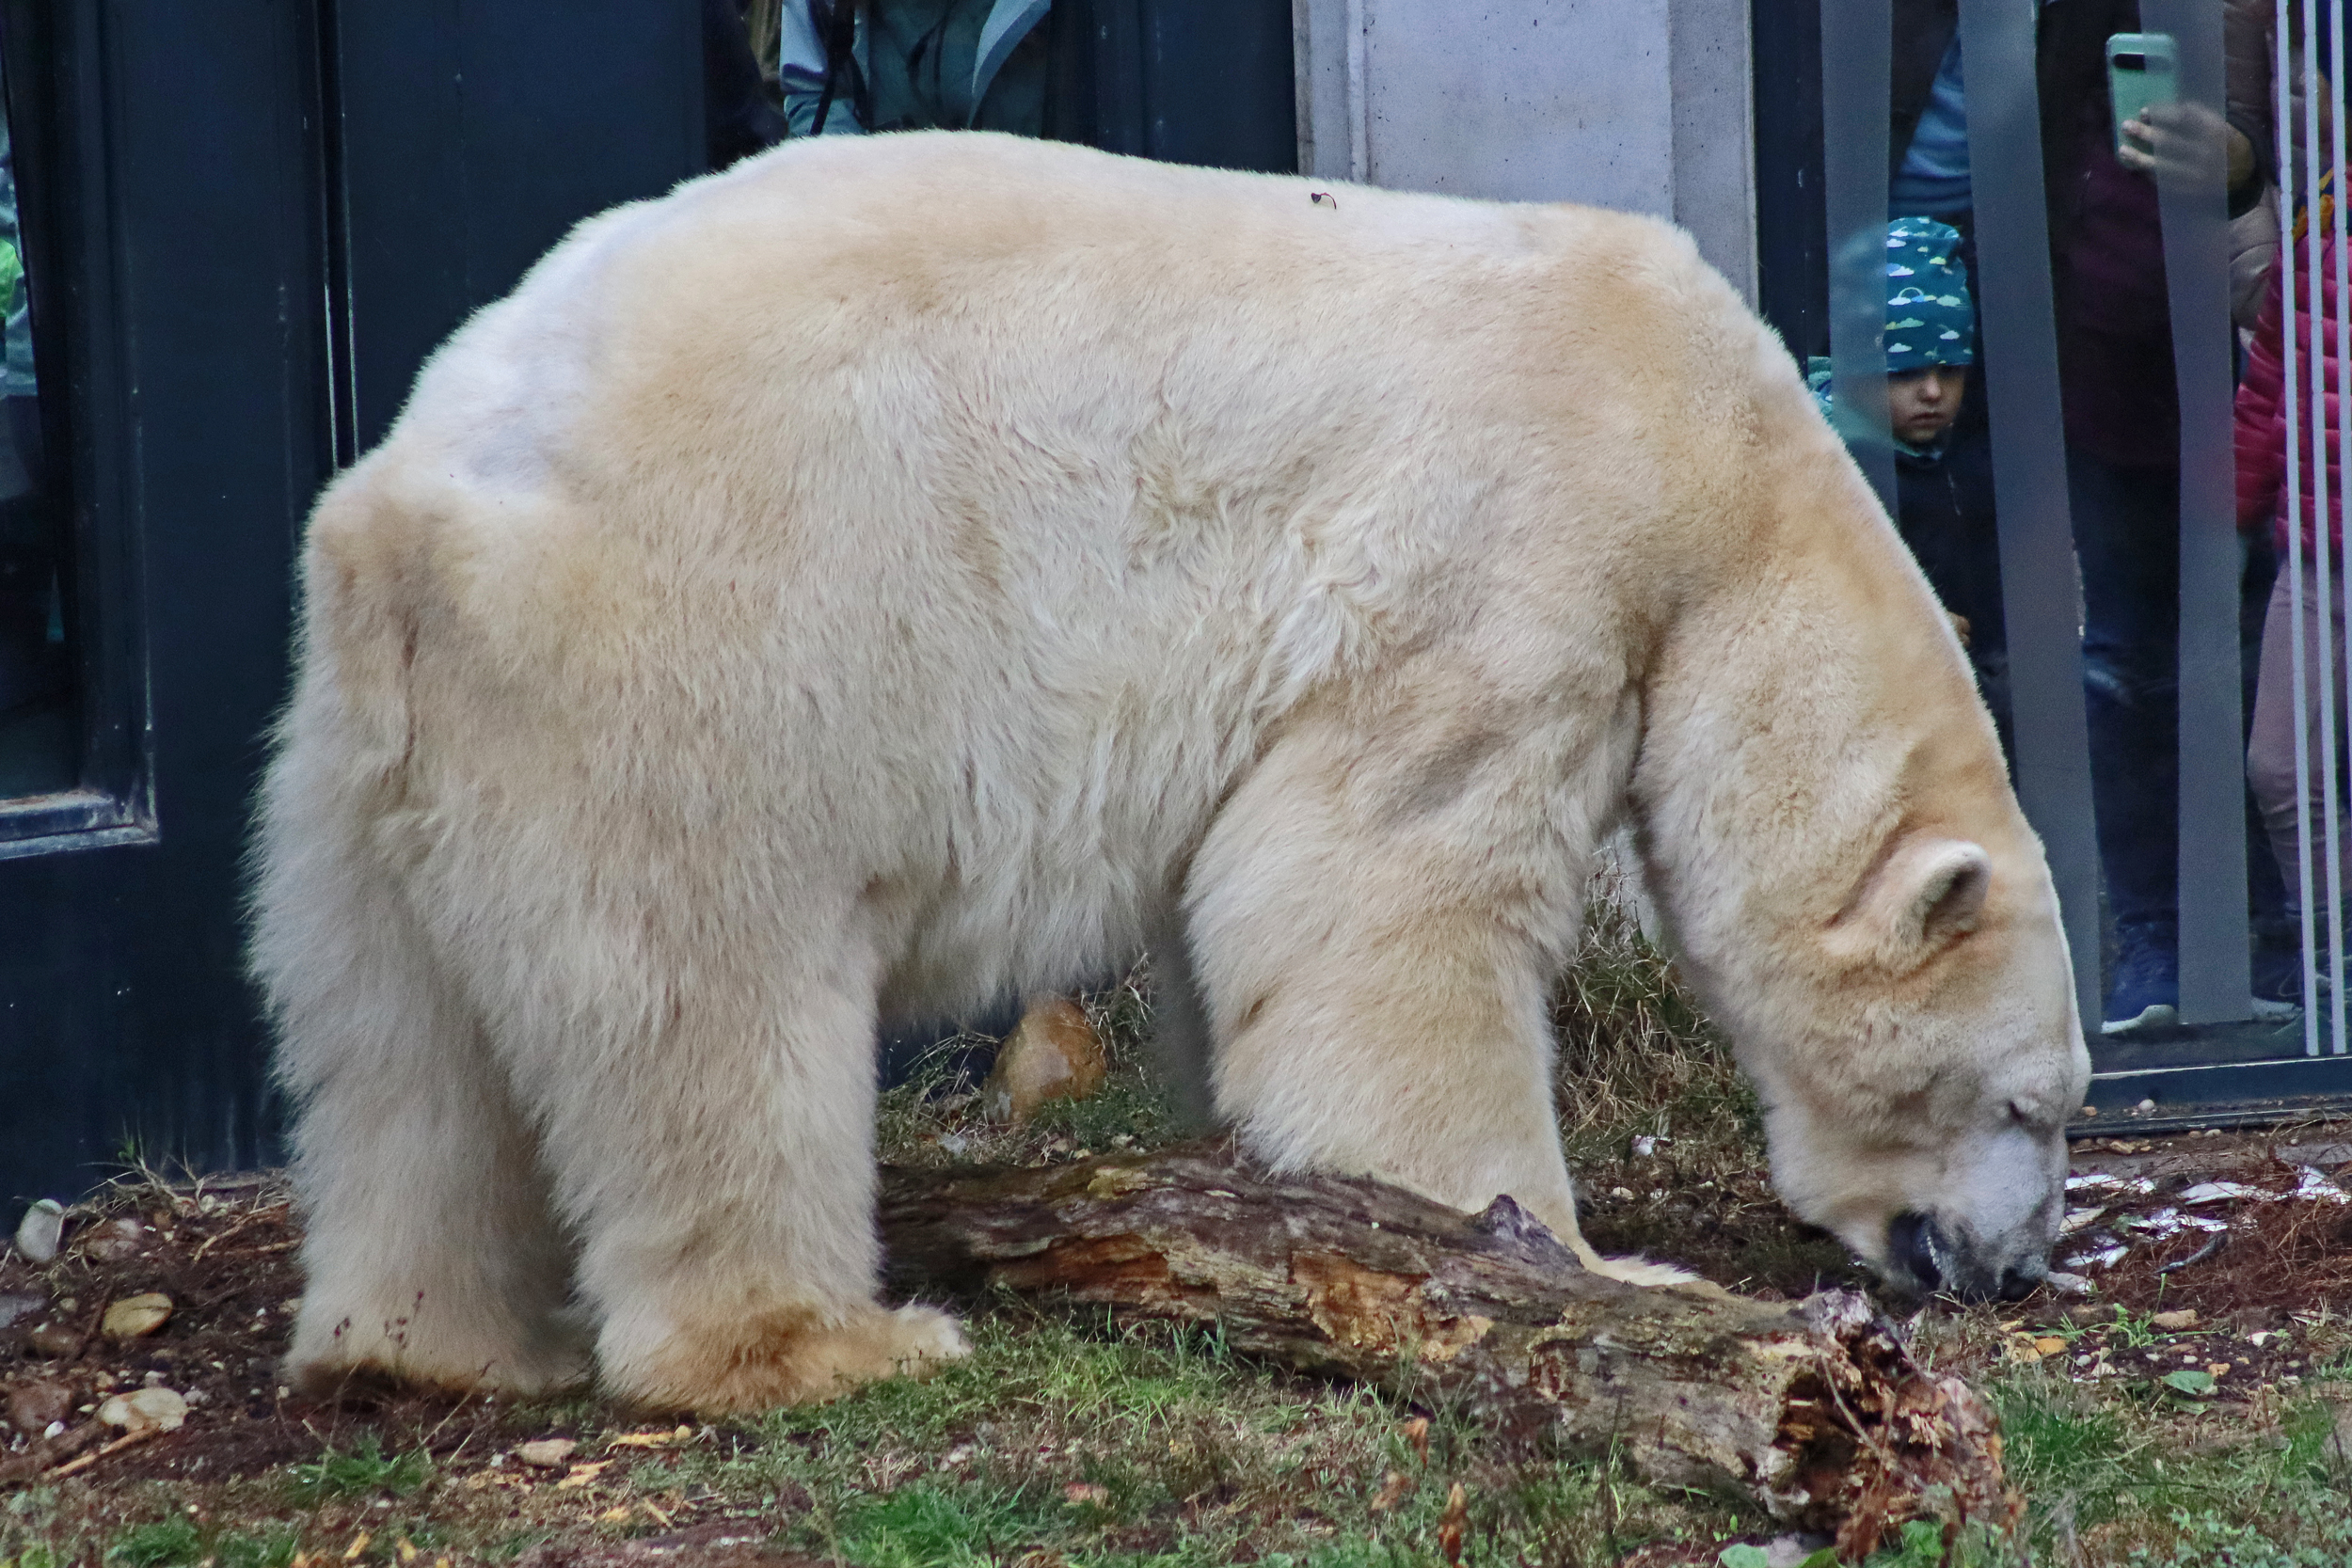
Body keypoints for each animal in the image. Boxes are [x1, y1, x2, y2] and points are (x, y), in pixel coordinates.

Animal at [251, 131, 2090, 1414]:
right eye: (2029, 1101)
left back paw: (428, 1342)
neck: (1722, 468)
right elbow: (1388, 888)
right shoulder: (1515, 555)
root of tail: (419, 502)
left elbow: (1252, 921)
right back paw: (830, 1340)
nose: (2011, 1271)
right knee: (710, 1003)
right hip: (701, 664)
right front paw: (1585, 1263)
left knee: (396, 1051)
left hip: (360, 757)